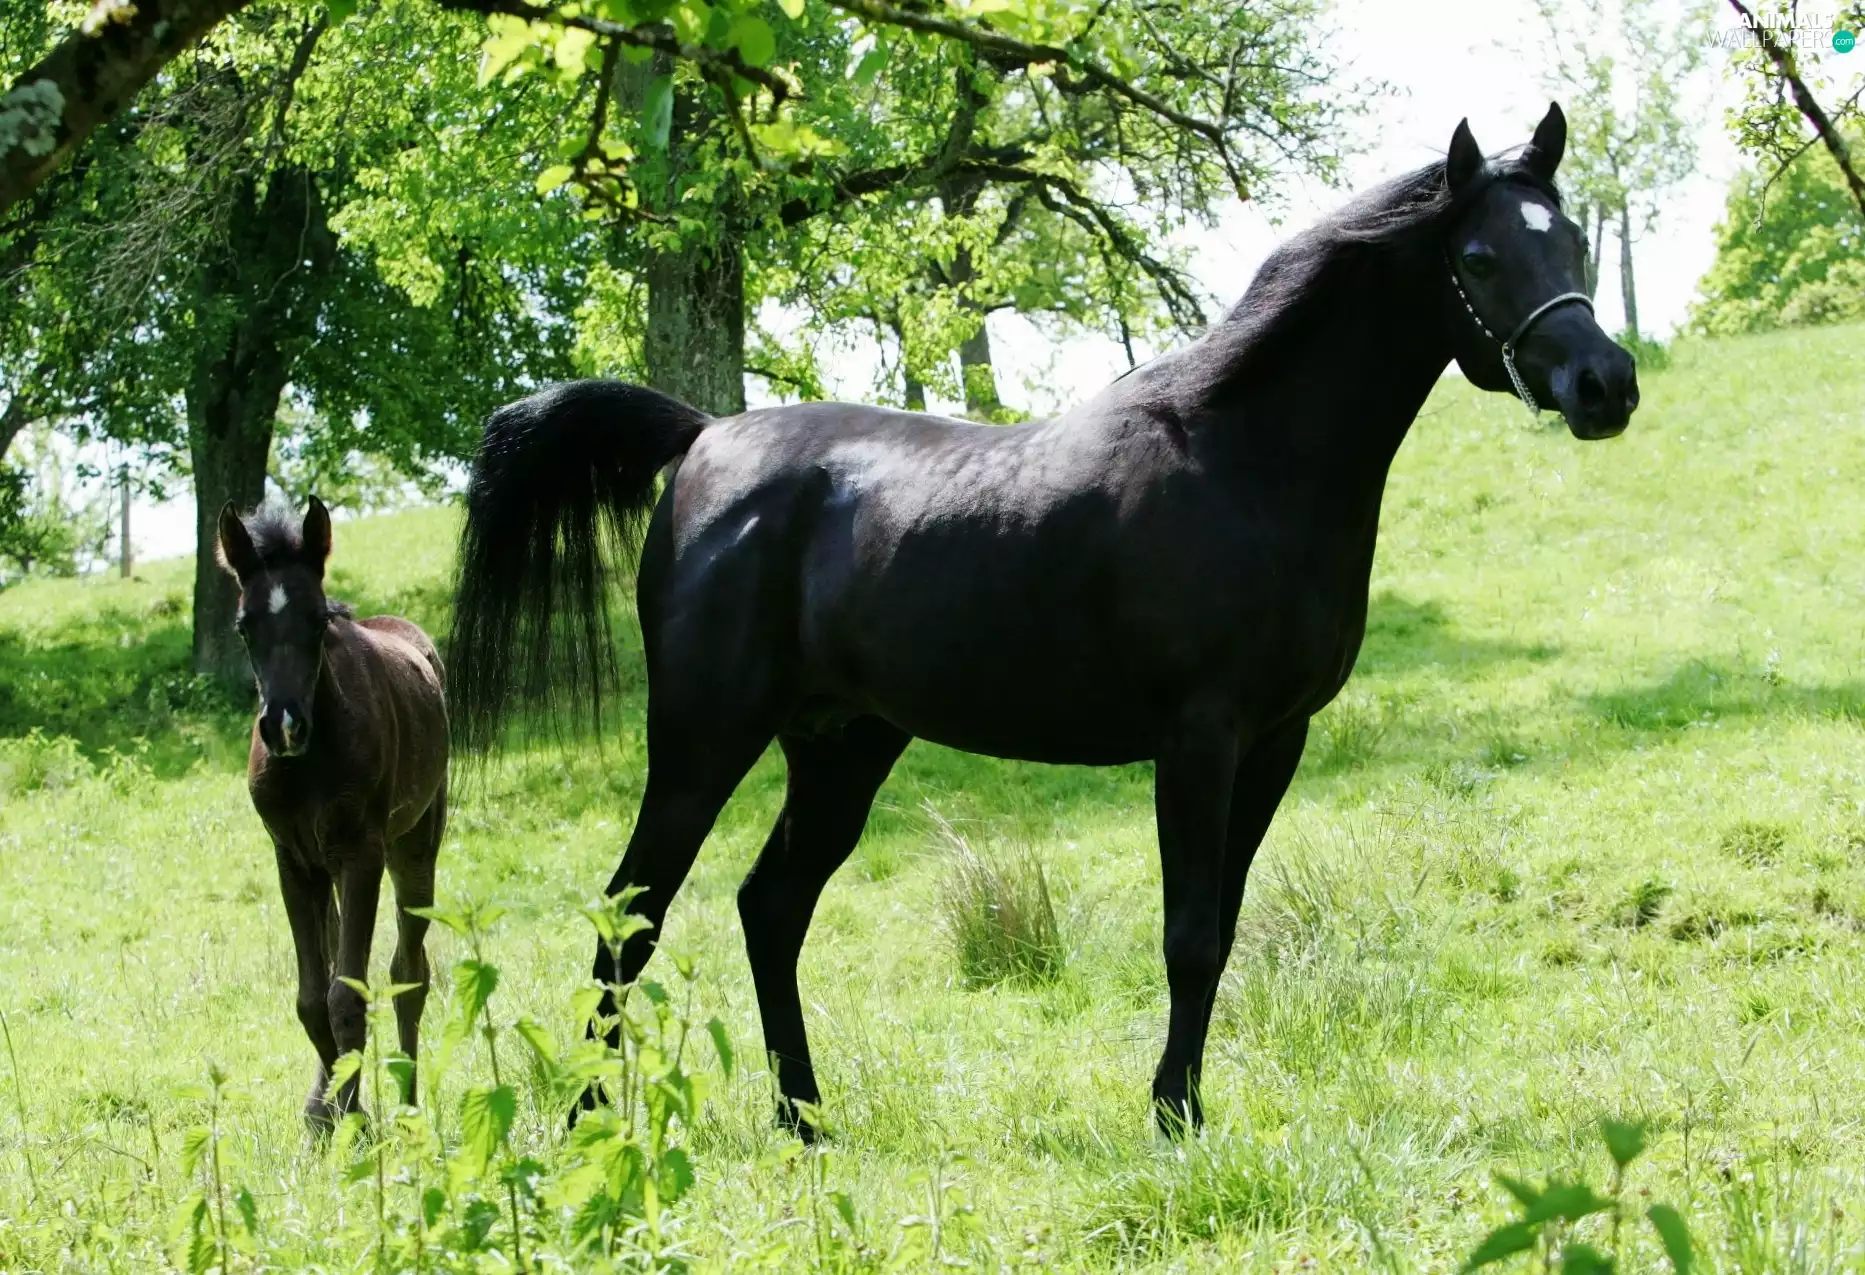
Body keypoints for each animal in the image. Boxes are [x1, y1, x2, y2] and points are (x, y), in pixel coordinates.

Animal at [217, 497, 449, 1129]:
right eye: (244, 626)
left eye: (319, 621)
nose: (284, 726)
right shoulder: (294, 863)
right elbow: (311, 998)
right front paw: (335, 1112)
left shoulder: (360, 854)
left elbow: (348, 995)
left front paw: (355, 1120)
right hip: (328, 870)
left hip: (414, 846)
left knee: (409, 972)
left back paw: (409, 1101)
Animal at [446, 103, 1638, 1136]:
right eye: (1478, 259)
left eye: (1574, 238)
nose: (1605, 383)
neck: (1243, 460)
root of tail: (701, 437)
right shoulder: (1196, 739)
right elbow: (1189, 935)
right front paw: (1172, 1118)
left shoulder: (1275, 741)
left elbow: (1222, 926)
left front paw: (1185, 1105)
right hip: (702, 741)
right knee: (629, 918)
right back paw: (590, 1123)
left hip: (841, 746)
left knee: (767, 906)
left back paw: (805, 1122)